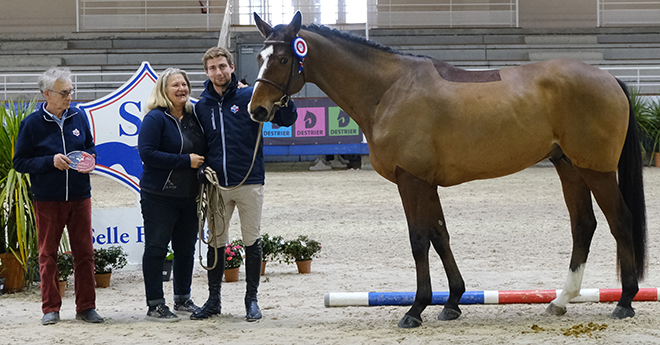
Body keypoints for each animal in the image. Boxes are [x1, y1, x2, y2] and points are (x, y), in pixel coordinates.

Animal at [248, 12, 644, 326]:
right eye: (259, 56)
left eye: (282, 58)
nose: (257, 110)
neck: (389, 90)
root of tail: (609, 78)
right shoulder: (428, 183)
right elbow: (441, 236)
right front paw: (452, 301)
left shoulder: (411, 180)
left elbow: (419, 240)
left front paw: (415, 309)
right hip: (570, 166)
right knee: (584, 226)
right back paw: (561, 300)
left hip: (596, 170)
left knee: (620, 221)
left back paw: (625, 301)